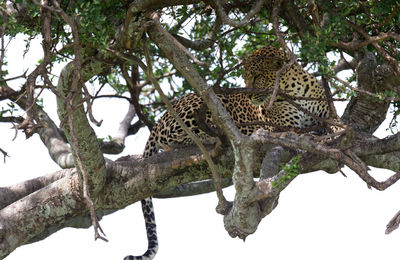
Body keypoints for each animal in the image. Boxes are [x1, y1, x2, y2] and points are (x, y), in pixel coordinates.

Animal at [127, 45, 332, 258]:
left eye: (257, 77)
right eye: (245, 77)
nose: (248, 95)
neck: (295, 90)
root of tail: (161, 117)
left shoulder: (327, 115)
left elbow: (333, 126)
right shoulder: (281, 127)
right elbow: (302, 133)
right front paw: (315, 136)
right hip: (204, 106)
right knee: (174, 136)